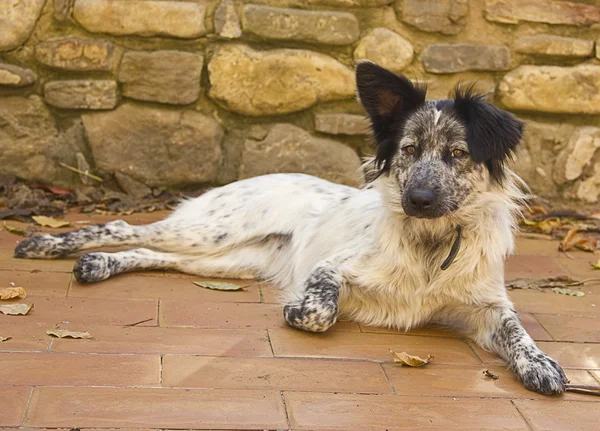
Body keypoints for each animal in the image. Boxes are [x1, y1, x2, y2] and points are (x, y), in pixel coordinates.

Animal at [14, 60, 568, 394]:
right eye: (409, 150)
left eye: (456, 154)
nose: (418, 199)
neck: (432, 245)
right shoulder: (330, 268)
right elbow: (320, 309)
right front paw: (300, 311)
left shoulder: (486, 306)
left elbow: (517, 331)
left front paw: (541, 364)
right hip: (210, 232)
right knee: (123, 225)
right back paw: (50, 244)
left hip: (229, 260)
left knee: (156, 256)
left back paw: (96, 266)